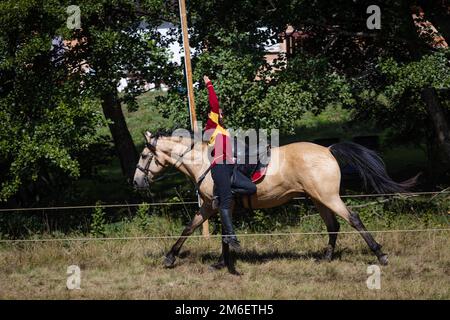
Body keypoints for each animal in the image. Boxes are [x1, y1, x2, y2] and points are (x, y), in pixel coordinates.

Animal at [133, 131, 414, 274]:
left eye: (145, 155)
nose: (136, 183)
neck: (203, 163)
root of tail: (327, 150)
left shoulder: (219, 205)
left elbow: (219, 233)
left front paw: (222, 262)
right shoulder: (210, 205)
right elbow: (191, 228)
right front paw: (174, 258)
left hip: (329, 197)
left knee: (353, 219)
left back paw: (380, 255)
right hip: (318, 199)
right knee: (333, 226)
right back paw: (326, 258)